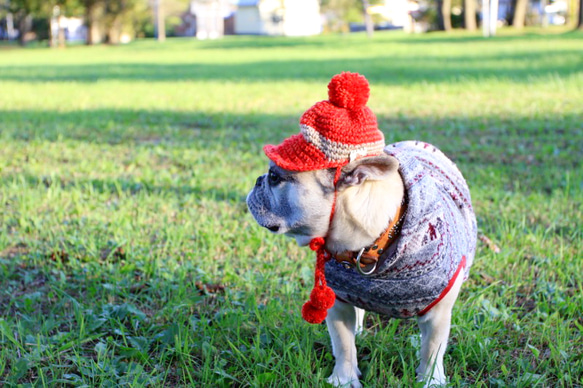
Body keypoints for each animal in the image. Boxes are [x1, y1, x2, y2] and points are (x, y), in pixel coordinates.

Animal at [244, 72, 476, 384]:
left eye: (274, 177)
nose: (257, 180)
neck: (370, 244)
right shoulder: (338, 302)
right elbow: (343, 344)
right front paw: (344, 379)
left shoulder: (438, 312)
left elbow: (433, 349)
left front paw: (431, 381)